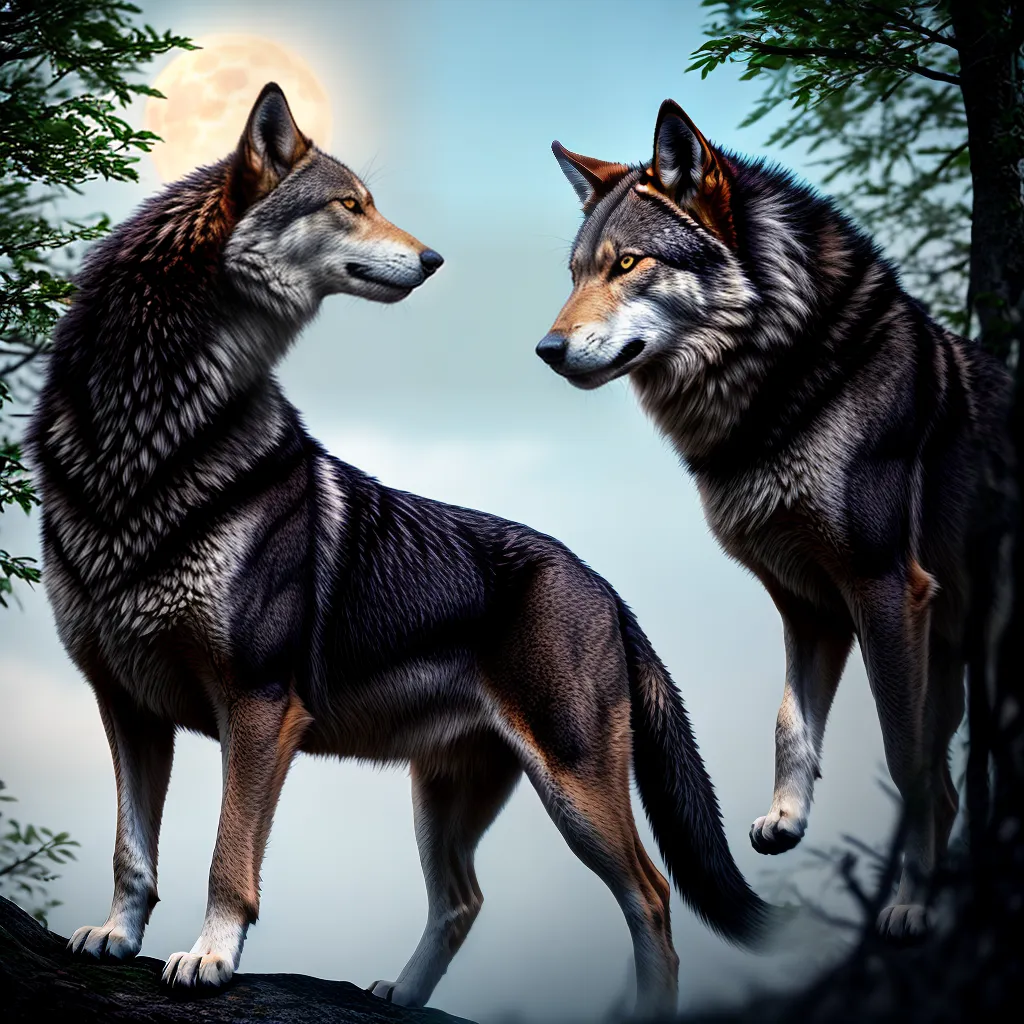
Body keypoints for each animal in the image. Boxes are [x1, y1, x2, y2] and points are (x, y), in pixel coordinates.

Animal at [27, 84, 770, 1014]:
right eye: (350, 204)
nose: (435, 258)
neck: (142, 447)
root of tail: (609, 591)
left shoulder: (258, 705)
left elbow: (228, 861)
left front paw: (209, 957)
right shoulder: (125, 704)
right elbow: (133, 851)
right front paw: (116, 937)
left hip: (574, 790)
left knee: (653, 895)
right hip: (443, 797)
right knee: (464, 900)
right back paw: (398, 997)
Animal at [538, 99, 1013, 941]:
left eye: (628, 265)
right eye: (577, 274)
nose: (547, 348)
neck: (778, 395)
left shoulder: (886, 589)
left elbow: (908, 764)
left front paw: (912, 902)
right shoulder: (806, 604)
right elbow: (791, 720)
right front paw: (786, 820)